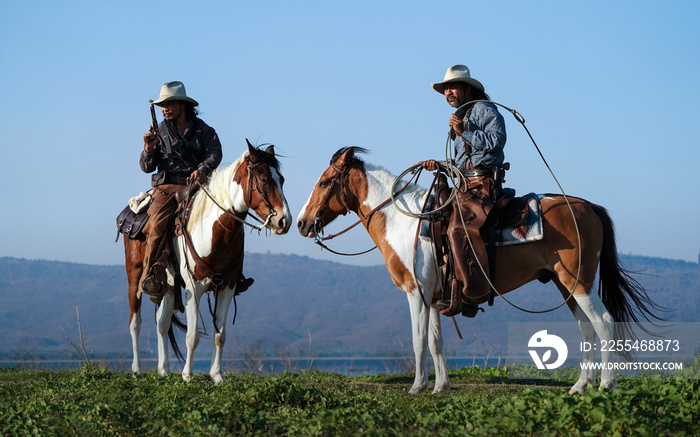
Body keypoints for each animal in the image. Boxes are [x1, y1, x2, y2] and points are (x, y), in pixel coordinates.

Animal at [124, 143, 292, 382]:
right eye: (263, 179)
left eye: (282, 179)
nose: (284, 221)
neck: (216, 230)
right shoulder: (194, 288)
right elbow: (193, 336)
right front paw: (187, 375)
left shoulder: (227, 287)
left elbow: (220, 335)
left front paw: (217, 376)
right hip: (135, 276)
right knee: (135, 323)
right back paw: (137, 369)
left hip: (168, 285)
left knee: (162, 323)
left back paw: (164, 369)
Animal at [296, 147, 668, 396]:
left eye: (326, 181)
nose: (301, 223)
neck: (405, 222)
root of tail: (588, 206)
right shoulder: (434, 297)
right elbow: (436, 341)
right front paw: (441, 387)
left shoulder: (416, 292)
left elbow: (418, 341)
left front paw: (417, 387)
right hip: (568, 285)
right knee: (587, 328)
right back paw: (580, 385)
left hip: (581, 283)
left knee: (603, 323)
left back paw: (606, 384)